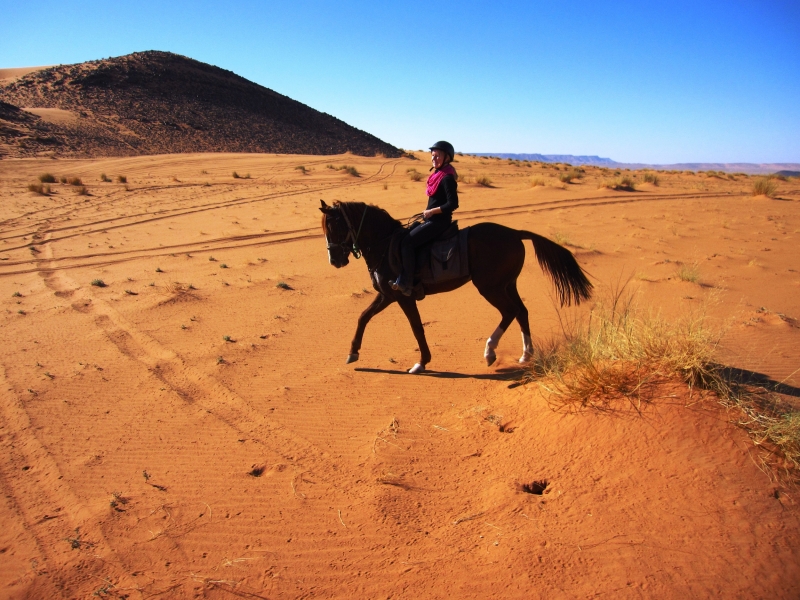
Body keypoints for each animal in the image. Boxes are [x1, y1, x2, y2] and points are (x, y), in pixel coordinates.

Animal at [320, 199, 592, 372]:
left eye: (334, 227)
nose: (334, 261)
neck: (386, 245)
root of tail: (515, 232)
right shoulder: (387, 296)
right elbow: (363, 317)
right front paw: (353, 352)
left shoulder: (403, 296)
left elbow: (416, 328)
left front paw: (422, 362)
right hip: (507, 284)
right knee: (521, 312)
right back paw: (526, 354)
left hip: (490, 287)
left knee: (510, 312)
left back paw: (490, 351)